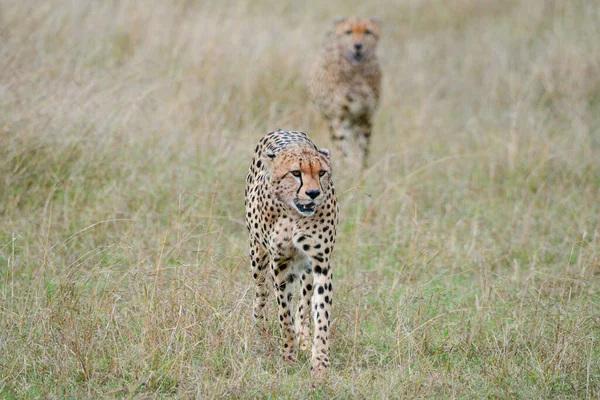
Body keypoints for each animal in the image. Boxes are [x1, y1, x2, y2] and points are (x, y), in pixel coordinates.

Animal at [244, 130, 338, 380]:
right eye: (296, 173)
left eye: (321, 172)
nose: (313, 193)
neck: (295, 215)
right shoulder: (279, 263)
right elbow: (283, 314)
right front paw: (288, 357)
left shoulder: (320, 263)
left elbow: (320, 315)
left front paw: (319, 364)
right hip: (258, 255)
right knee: (260, 293)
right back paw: (259, 333)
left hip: (305, 269)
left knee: (304, 303)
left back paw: (303, 340)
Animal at [308, 16, 382, 170]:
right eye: (348, 32)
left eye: (368, 31)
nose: (358, 46)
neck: (357, 71)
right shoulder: (338, 116)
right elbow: (342, 147)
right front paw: (346, 168)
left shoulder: (365, 116)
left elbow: (363, 148)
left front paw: (361, 169)